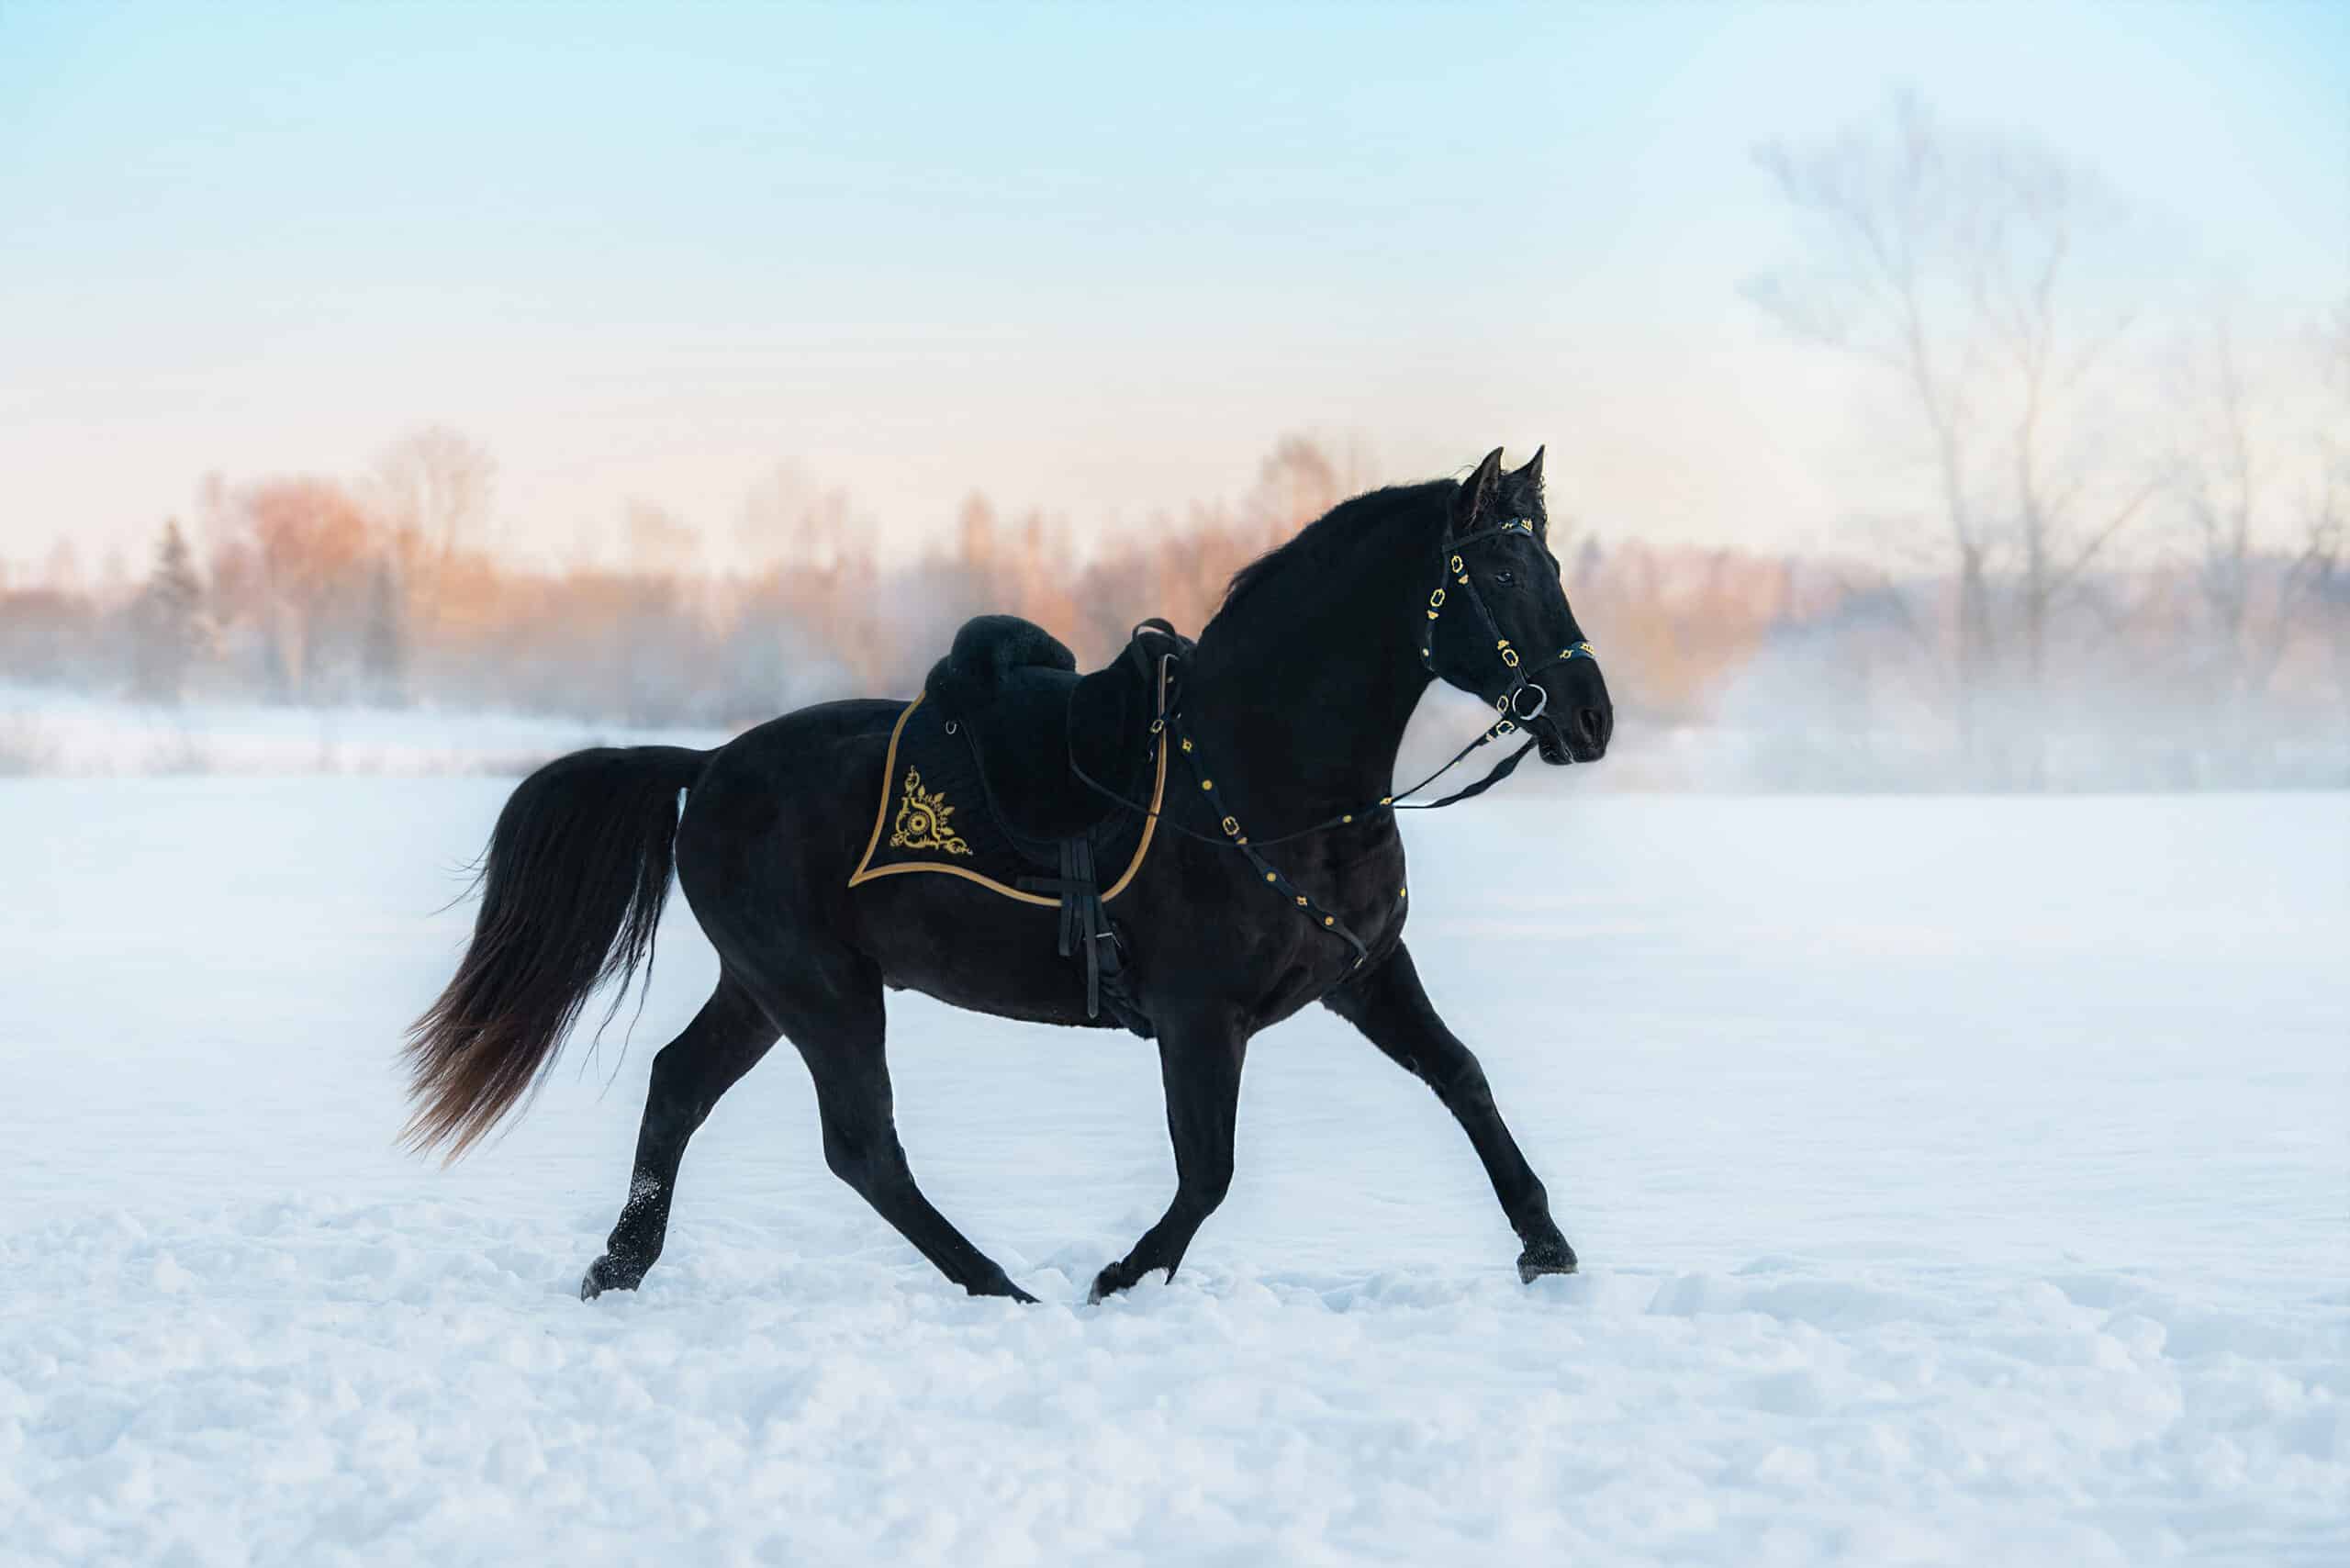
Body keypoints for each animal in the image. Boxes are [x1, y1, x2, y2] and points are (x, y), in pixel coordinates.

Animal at [401, 446, 1613, 1304]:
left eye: (1550, 563)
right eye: (1502, 569)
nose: (1592, 718)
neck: (1257, 777)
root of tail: (706, 765)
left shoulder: (1363, 974)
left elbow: (1463, 1078)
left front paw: (1546, 1248)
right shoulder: (1198, 1016)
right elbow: (1209, 1169)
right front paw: (1123, 1277)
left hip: (765, 988)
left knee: (679, 1087)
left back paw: (620, 1266)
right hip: (822, 991)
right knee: (861, 1147)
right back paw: (996, 1285)